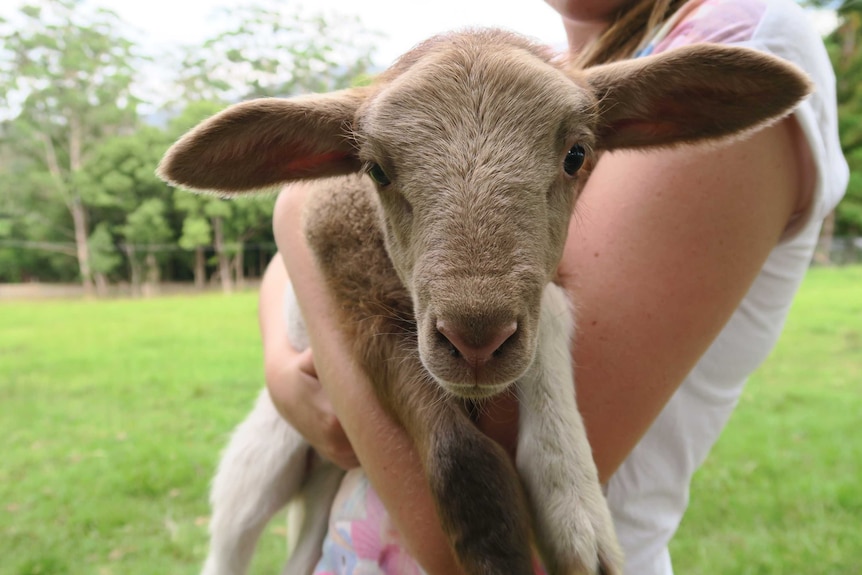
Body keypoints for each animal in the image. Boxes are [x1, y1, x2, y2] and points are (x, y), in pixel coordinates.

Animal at [159, 28, 812, 575]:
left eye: (577, 155)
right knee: (229, 543)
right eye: (376, 170)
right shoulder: (348, 284)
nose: (476, 337)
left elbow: (554, 309)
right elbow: (459, 454)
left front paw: (571, 493)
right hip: (263, 453)